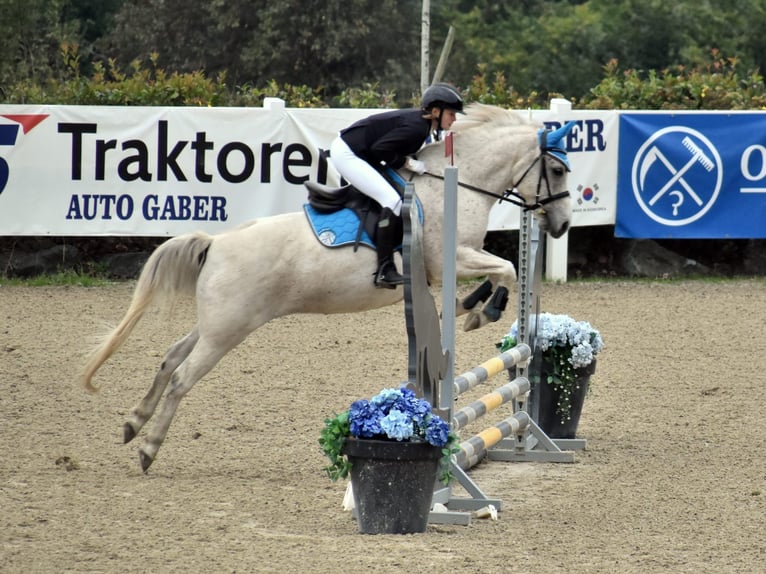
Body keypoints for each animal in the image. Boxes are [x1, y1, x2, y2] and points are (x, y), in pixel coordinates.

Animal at [81, 103, 575, 472]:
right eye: (555, 170)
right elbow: (508, 269)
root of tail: (216, 243)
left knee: (170, 359)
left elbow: (494, 275)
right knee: (183, 376)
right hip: (228, 329)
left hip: (218, 322)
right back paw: (148, 449)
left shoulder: (449, 266)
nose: (563, 225)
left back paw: (133, 423)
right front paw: (484, 310)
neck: (458, 182)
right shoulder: (451, 256)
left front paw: (471, 305)